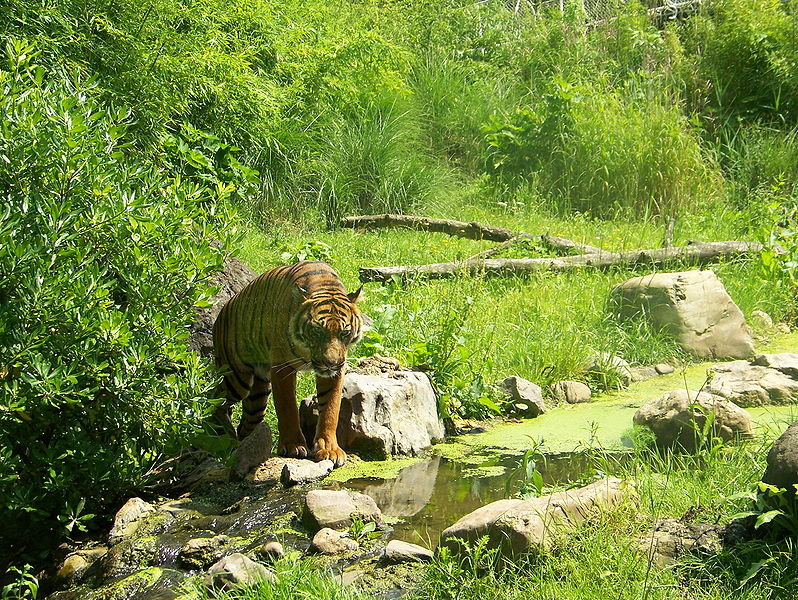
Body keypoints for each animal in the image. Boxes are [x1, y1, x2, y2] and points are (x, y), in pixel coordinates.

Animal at [211, 260, 364, 466]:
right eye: (317, 331)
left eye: (344, 333)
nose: (330, 363)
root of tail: (222, 311)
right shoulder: (282, 367)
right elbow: (287, 407)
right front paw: (293, 446)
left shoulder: (336, 371)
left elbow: (330, 409)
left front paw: (329, 449)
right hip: (236, 379)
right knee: (214, 398)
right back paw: (222, 437)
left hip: (258, 398)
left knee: (246, 423)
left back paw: (239, 446)